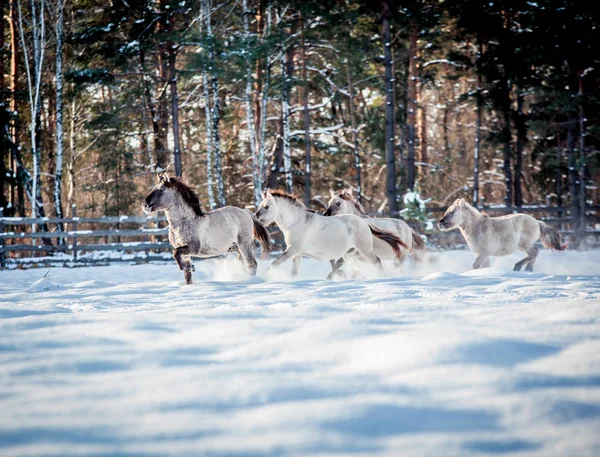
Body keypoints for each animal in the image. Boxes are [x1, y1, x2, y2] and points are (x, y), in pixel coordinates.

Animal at [253, 189, 408, 278]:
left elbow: (275, 263)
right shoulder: (297, 253)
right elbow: (294, 272)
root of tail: (364, 222)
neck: (296, 222)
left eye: (266, 206)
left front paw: (263, 276)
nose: (256, 217)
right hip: (350, 254)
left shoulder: (293, 250)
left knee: (377, 262)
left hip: (365, 250)